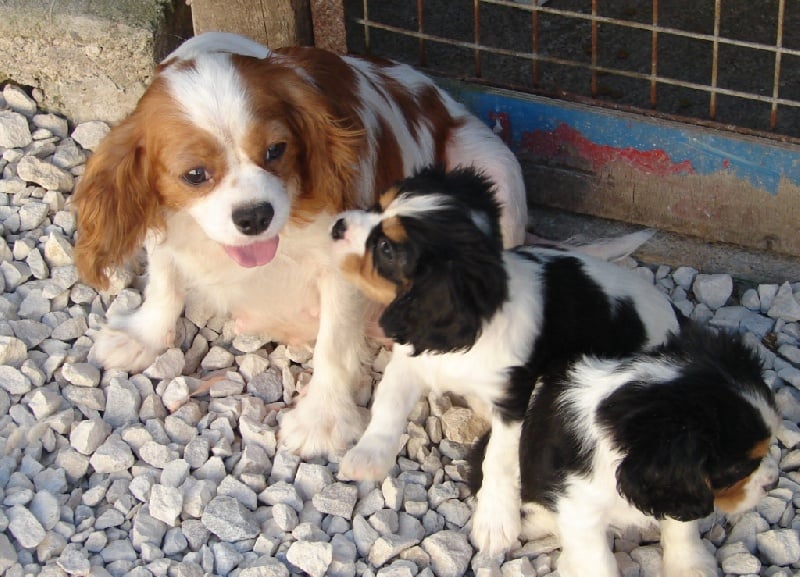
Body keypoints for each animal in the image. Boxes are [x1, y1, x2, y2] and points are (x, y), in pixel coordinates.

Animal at [71, 32, 528, 457]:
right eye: (195, 174)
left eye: (276, 150)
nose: (255, 215)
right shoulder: (166, 224)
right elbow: (164, 286)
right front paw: (141, 337)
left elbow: (333, 346)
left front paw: (321, 419)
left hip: (495, 172)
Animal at [329, 165, 679, 554]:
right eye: (379, 204)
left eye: (386, 248)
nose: (337, 225)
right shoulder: (410, 360)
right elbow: (388, 404)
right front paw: (368, 455)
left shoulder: (512, 398)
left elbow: (499, 456)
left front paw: (495, 521)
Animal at [468, 322, 780, 577]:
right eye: (738, 468)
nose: (773, 482)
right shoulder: (579, 506)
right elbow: (598, 561)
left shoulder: (678, 492)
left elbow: (682, 528)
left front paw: (691, 567)